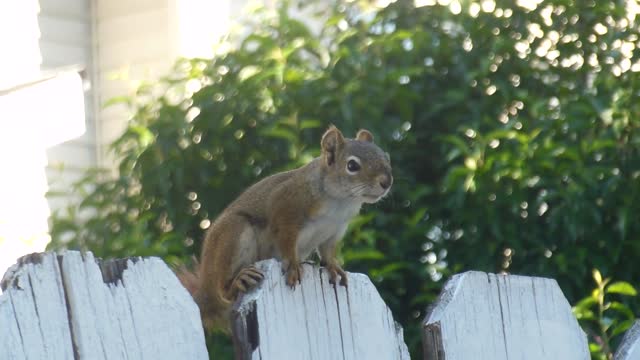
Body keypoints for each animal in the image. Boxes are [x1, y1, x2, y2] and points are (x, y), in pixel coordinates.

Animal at [178, 126, 392, 330]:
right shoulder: (286, 207)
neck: (340, 202)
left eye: (386, 158)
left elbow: (328, 252)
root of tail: (204, 294)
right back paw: (237, 280)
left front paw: (333, 266)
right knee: (222, 290)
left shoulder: (335, 230)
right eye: (352, 165)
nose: (386, 182)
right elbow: (286, 240)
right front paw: (293, 264)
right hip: (233, 233)